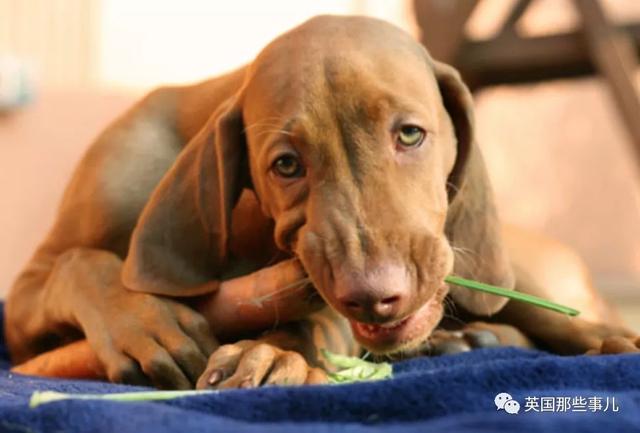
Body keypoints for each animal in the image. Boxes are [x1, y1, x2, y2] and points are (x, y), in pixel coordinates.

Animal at [6, 16, 640, 388]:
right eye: (286, 165)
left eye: (410, 134)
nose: (376, 296)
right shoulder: (23, 304)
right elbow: (78, 262)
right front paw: (146, 321)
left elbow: (307, 321)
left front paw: (271, 354)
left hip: (495, 263)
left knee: (537, 309)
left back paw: (595, 341)